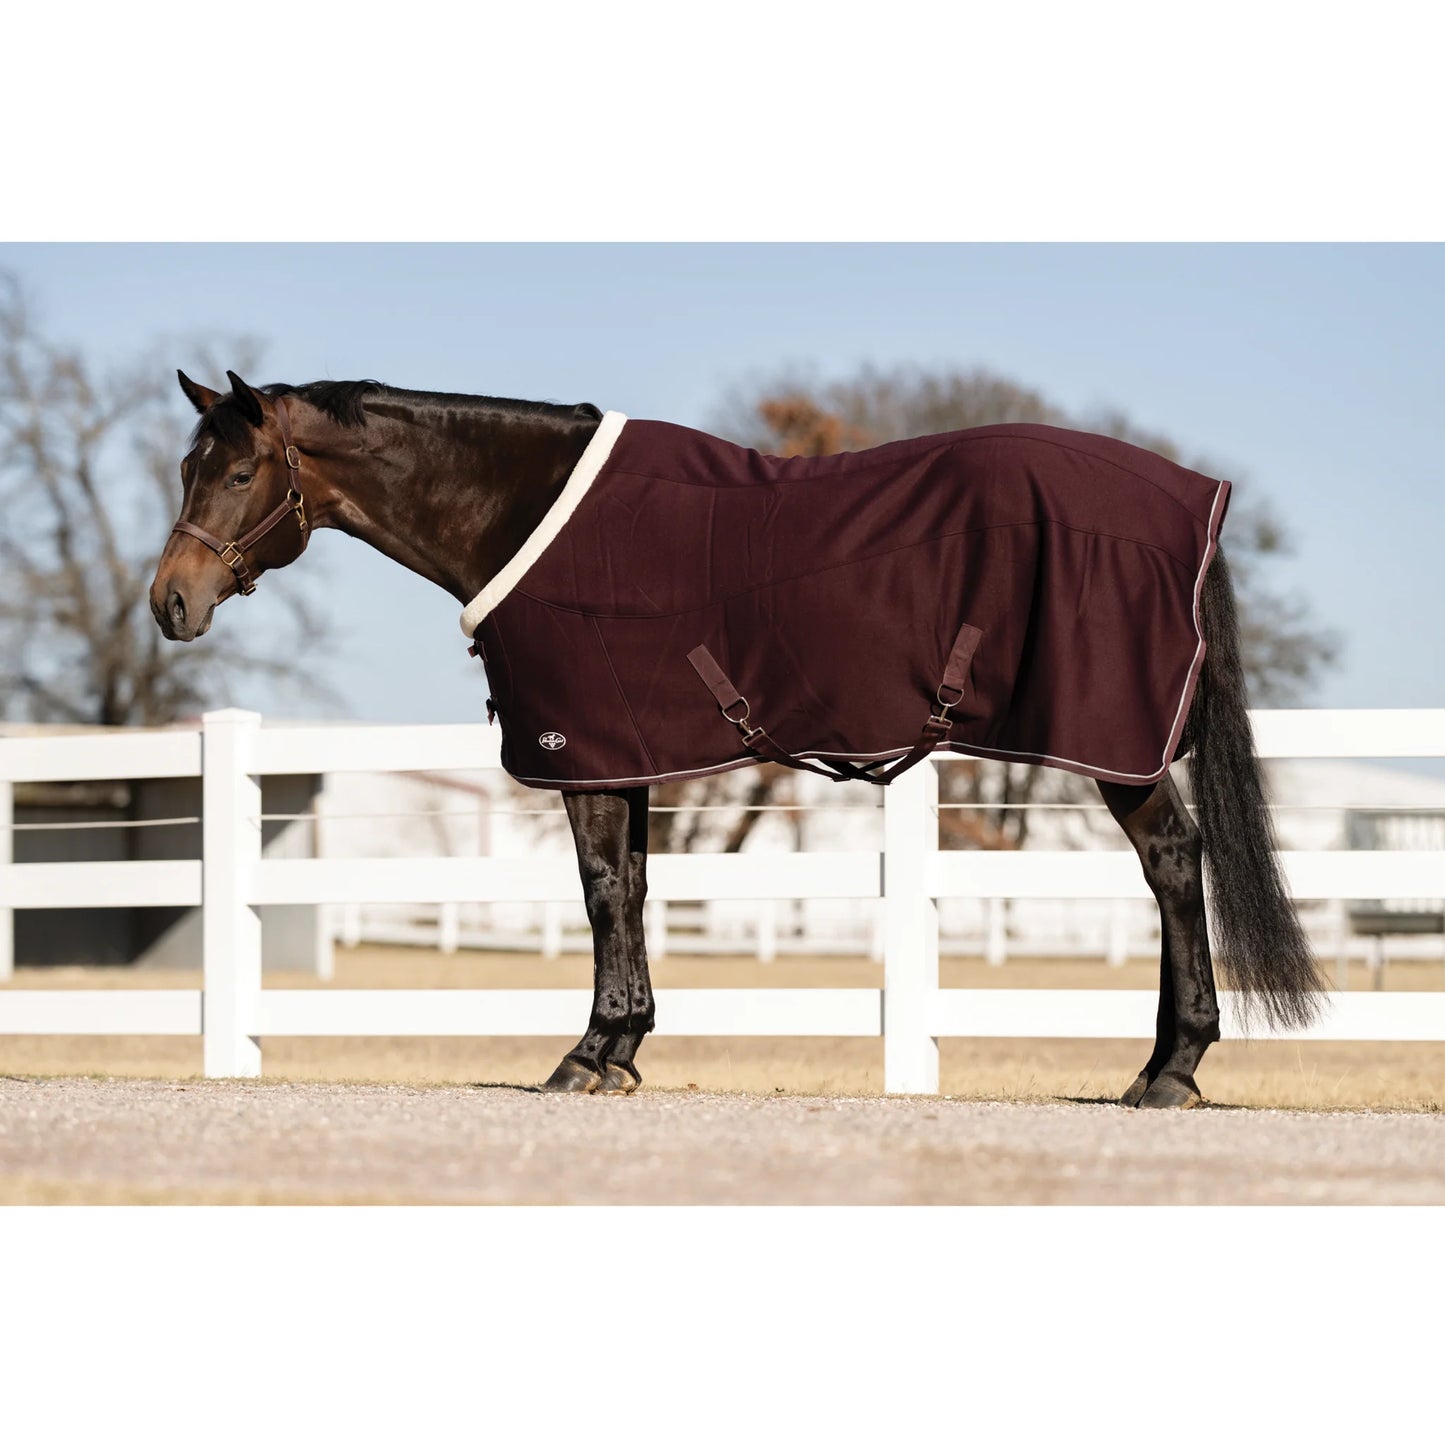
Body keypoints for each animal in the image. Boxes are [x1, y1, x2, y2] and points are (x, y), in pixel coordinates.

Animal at [149, 371, 1326, 1107]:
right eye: (185, 470)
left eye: (240, 474)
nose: (169, 602)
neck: (521, 509)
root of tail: (1192, 497)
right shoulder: (625, 752)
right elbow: (631, 889)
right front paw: (622, 1048)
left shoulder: (580, 747)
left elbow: (601, 892)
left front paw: (585, 1056)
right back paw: (1162, 1064)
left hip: (1115, 747)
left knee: (1172, 862)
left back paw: (1169, 1070)